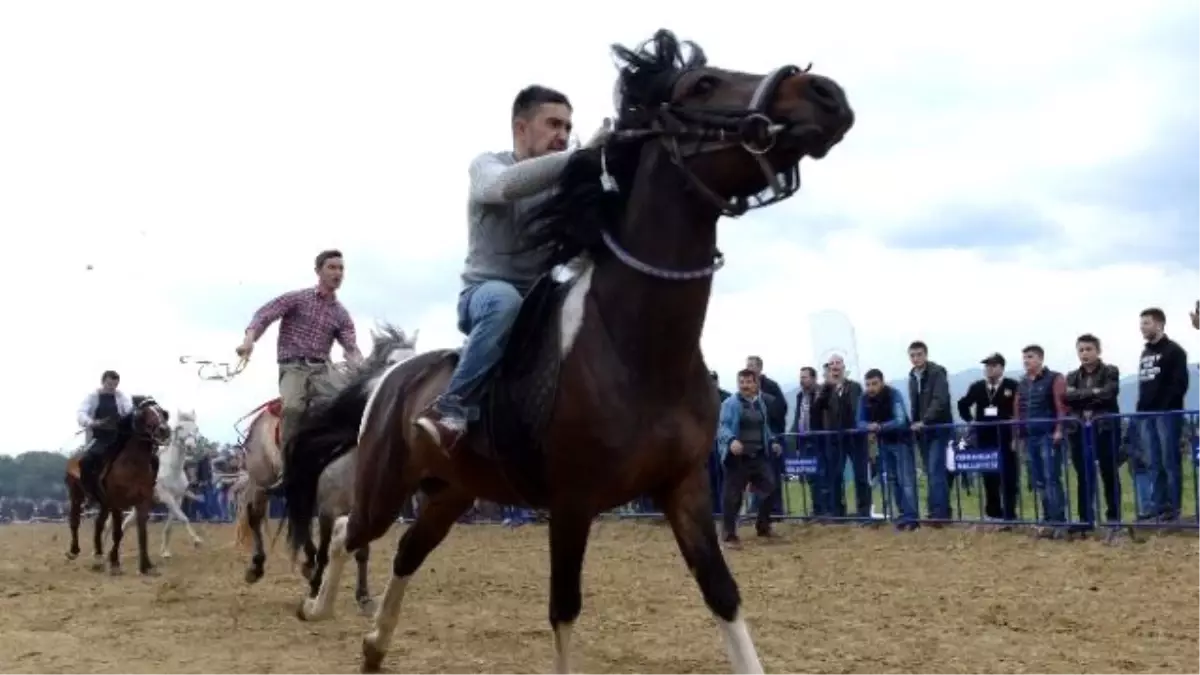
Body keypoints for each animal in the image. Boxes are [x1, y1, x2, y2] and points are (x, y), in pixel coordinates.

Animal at [65, 393, 174, 571]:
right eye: (145, 413)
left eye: (162, 412)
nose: (163, 430)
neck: (132, 464)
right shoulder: (117, 504)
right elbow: (118, 532)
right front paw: (115, 561)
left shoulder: (142, 503)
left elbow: (142, 532)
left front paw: (146, 565)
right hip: (76, 496)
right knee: (74, 521)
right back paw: (74, 551)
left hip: (104, 504)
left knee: (98, 524)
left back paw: (98, 556)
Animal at [115, 408, 205, 554]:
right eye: (180, 427)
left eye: (196, 428)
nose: (190, 446)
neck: (173, 470)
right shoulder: (166, 497)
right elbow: (183, 517)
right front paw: (197, 540)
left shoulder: (177, 499)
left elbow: (170, 525)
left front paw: (165, 551)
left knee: (126, 524)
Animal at [282, 27, 854, 672]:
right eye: (703, 84)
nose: (826, 93)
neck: (636, 350)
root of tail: (391, 379)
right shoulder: (572, 503)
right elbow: (565, 609)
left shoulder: (685, 488)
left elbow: (723, 594)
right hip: (386, 488)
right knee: (348, 530)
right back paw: (316, 606)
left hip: (452, 492)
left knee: (406, 550)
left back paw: (375, 644)